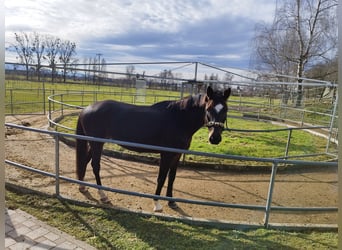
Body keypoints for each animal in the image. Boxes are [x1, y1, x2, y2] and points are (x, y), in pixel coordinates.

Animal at [74, 86, 230, 211]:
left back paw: (82, 186)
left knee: (85, 161)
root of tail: (86, 108)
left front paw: (171, 202)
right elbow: (161, 178)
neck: (178, 119)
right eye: (208, 109)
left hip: (94, 143)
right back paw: (103, 195)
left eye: (225, 110)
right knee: (95, 165)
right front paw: (157, 204)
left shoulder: (177, 155)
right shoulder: (166, 155)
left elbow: (172, 177)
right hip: (97, 144)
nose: (215, 138)